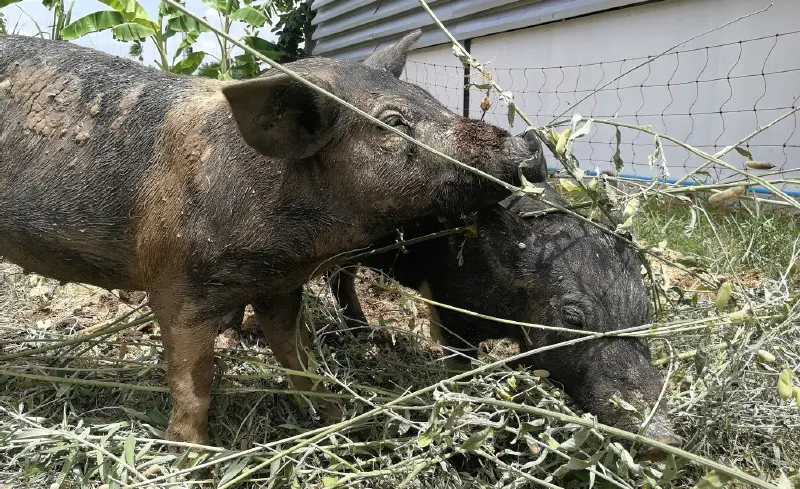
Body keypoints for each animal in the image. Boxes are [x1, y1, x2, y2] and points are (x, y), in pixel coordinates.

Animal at [0, 31, 544, 445]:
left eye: (433, 102)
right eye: (392, 122)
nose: (527, 143)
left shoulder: (281, 286)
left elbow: (299, 355)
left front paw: (339, 420)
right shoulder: (177, 284)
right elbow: (194, 381)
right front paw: (196, 455)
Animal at [329, 184, 682, 457]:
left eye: (644, 314)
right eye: (572, 318)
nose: (665, 441)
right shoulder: (448, 309)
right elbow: (460, 367)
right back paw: (363, 336)